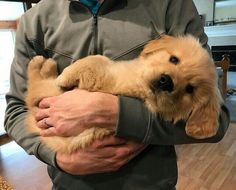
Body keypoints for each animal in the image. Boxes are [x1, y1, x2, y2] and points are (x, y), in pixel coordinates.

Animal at [26, 35, 222, 154]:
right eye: (174, 59)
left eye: (190, 89)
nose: (166, 82)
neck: (139, 82)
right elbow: (100, 58)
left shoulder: (102, 80)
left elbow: (92, 61)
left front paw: (64, 76)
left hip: (48, 93)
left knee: (34, 88)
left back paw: (42, 64)